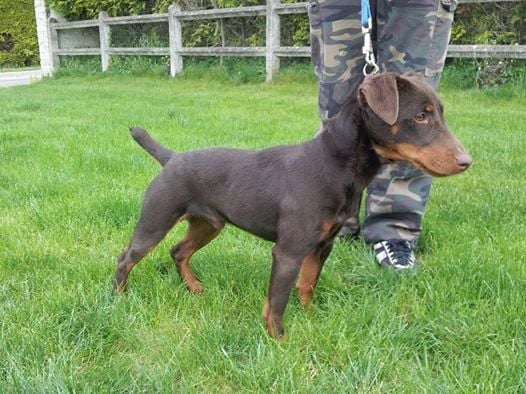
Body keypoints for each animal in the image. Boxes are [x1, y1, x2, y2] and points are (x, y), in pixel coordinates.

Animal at [113, 73, 472, 338]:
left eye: (440, 113)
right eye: (420, 116)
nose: (466, 161)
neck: (334, 165)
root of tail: (171, 158)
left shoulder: (322, 245)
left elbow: (307, 284)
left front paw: (311, 316)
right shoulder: (289, 251)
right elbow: (276, 302)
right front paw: (279, 341)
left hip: (208, 224)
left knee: (179, 251)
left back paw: (194, 288)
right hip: (157, 218)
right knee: (127, 257)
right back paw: (119, 298)